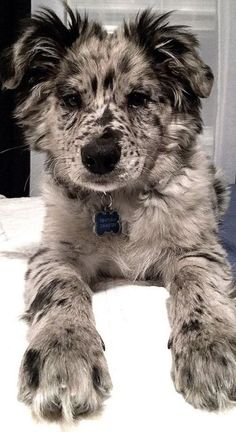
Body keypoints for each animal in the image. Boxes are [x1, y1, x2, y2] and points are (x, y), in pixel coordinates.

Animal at [0, 3, 235, 422]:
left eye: (139, 98)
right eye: (71, 100)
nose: (99, 156)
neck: (117, 203)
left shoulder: (197, 249)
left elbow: (196, 285)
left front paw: (211, 346)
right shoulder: (53, 254)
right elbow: (63, 289)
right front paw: (64, 354)